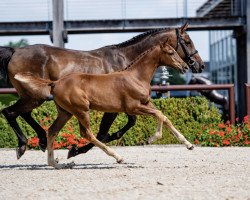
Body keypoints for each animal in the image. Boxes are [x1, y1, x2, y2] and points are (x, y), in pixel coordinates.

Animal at [14, 42, 192, 169]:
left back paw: (57, 164)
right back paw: (117, 157)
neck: (136, 77)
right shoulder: (133, 107)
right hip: (81, 110)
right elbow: (160, 115)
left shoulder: (146, 103)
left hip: (65, 112)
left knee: (52, 131)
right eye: (171, 53)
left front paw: (189, 145)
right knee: (87, 133)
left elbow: (165, 117)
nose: (185, 66)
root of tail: (55, 83)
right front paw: (151, 139)